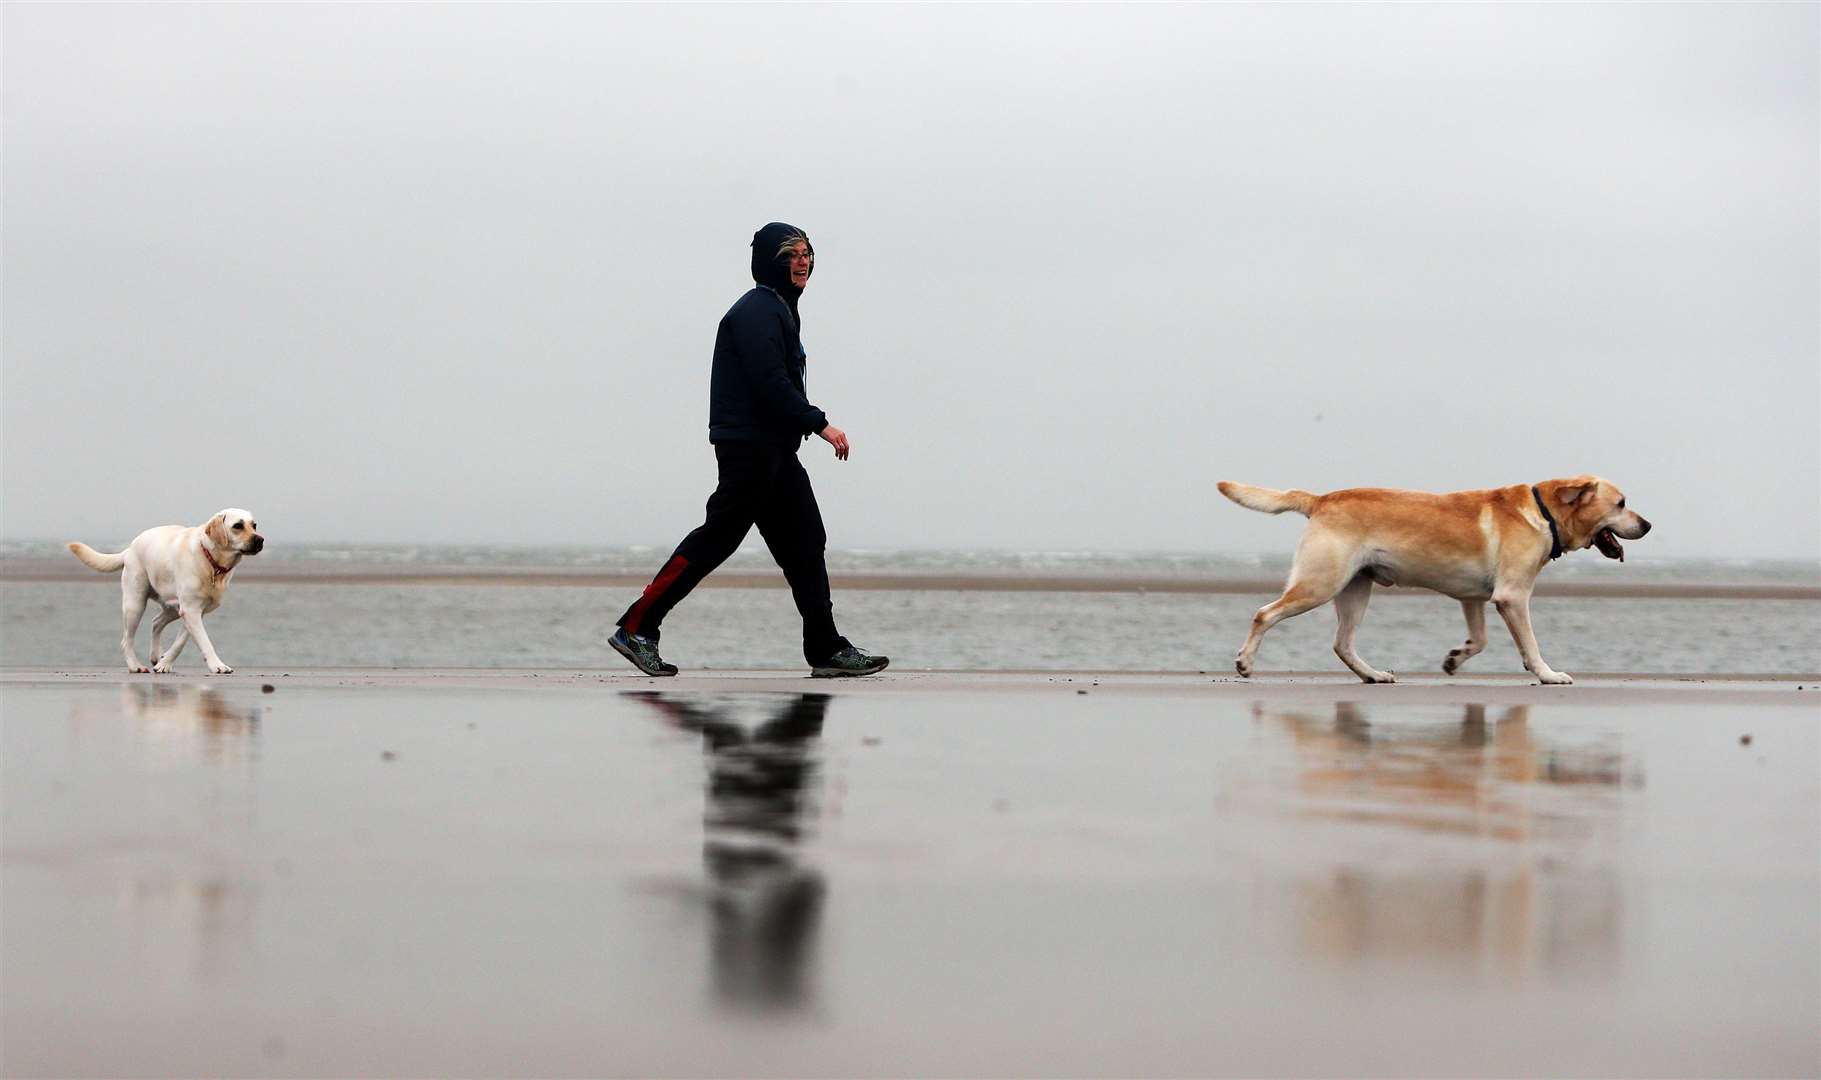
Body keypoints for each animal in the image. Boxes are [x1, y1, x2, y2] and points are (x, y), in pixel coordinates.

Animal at [68, 506, 264, 673]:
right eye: (237, 526)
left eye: (254, 525)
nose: (260, 540)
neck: (211, 561)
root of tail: (129, 549)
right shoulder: (190, 610)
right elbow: (205, 642)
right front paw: (218, 666)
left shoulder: (194, 612)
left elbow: (180, 642)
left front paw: (164, 663)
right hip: (135, 604)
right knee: (126, 640)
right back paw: (135, 666)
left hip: (173, 607)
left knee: (156, 622)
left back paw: (156, 656)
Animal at [1223, 477, 1653, 681]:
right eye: (1622, 503)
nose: (1648, 525)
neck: (1544, 512)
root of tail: (1321, 499)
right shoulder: (1513, 597)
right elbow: (1530, 645)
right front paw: (1548, 675)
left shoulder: (1473, 598)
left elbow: (1479, 640)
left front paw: (1455, 658)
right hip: (1320, 584)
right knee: (1264, 614)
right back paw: (1244, 662)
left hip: (1355, 590)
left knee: (1342, 644)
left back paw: (1373, 675)